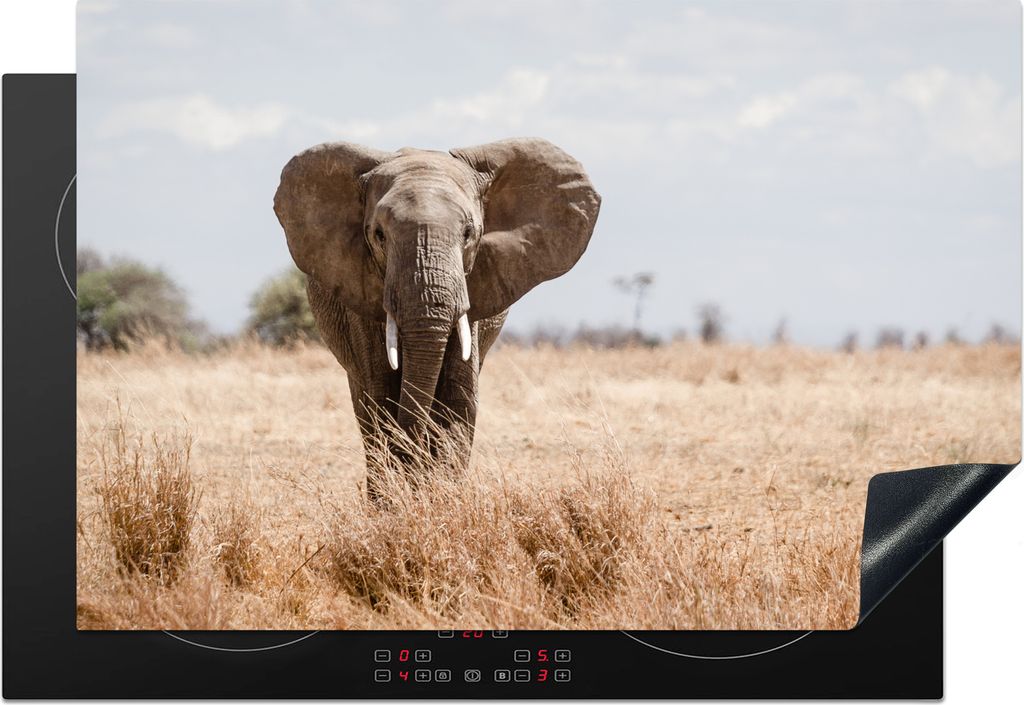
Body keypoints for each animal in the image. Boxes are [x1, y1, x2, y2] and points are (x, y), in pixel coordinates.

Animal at [273, 137, 601, 500]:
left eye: (469, 233)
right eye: (379, 234)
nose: (411, 464)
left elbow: (458, 400)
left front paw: (441, 499)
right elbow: (382, 394)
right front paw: (397, 502)